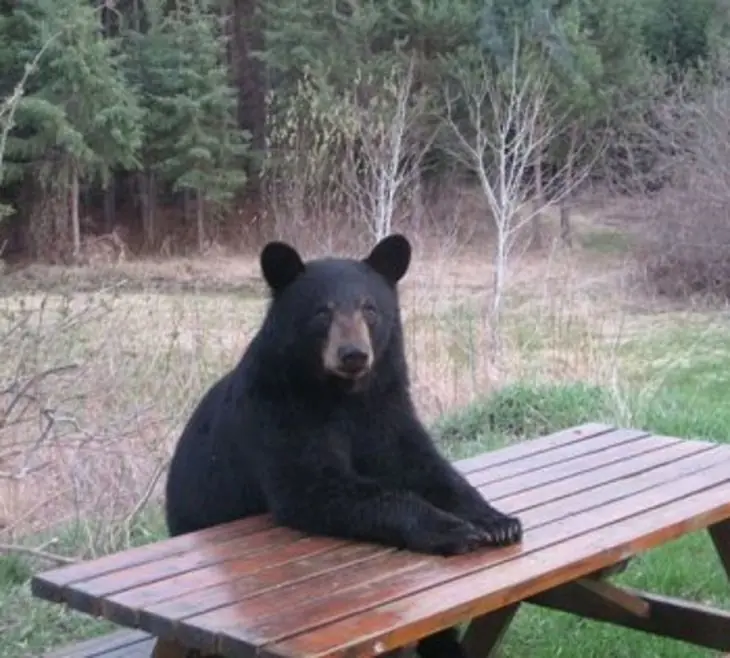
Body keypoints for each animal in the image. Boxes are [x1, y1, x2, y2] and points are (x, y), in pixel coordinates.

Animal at [164, 234, 523, 657]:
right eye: (322, 312)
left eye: (369, 308)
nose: (353, 354)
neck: (342, 395)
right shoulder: (278, 413)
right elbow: (315, 485)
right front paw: (452, 529)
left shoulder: (384, 408)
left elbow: (423, 465)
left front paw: (497, 521)